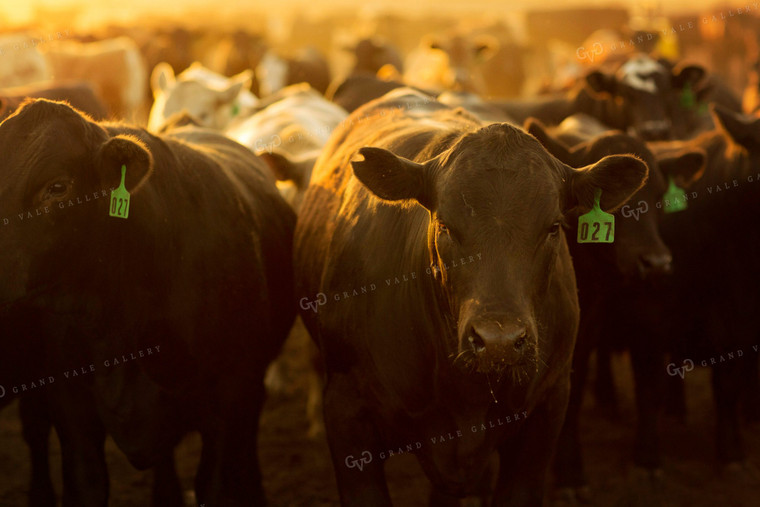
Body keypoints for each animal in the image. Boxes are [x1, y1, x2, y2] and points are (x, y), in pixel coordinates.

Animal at [524, 115, 704, 500]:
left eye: (659, 197)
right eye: (604, 204)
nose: (657, 263)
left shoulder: (643, 321)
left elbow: (648, 387)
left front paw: (647, 461)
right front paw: (570, 475)